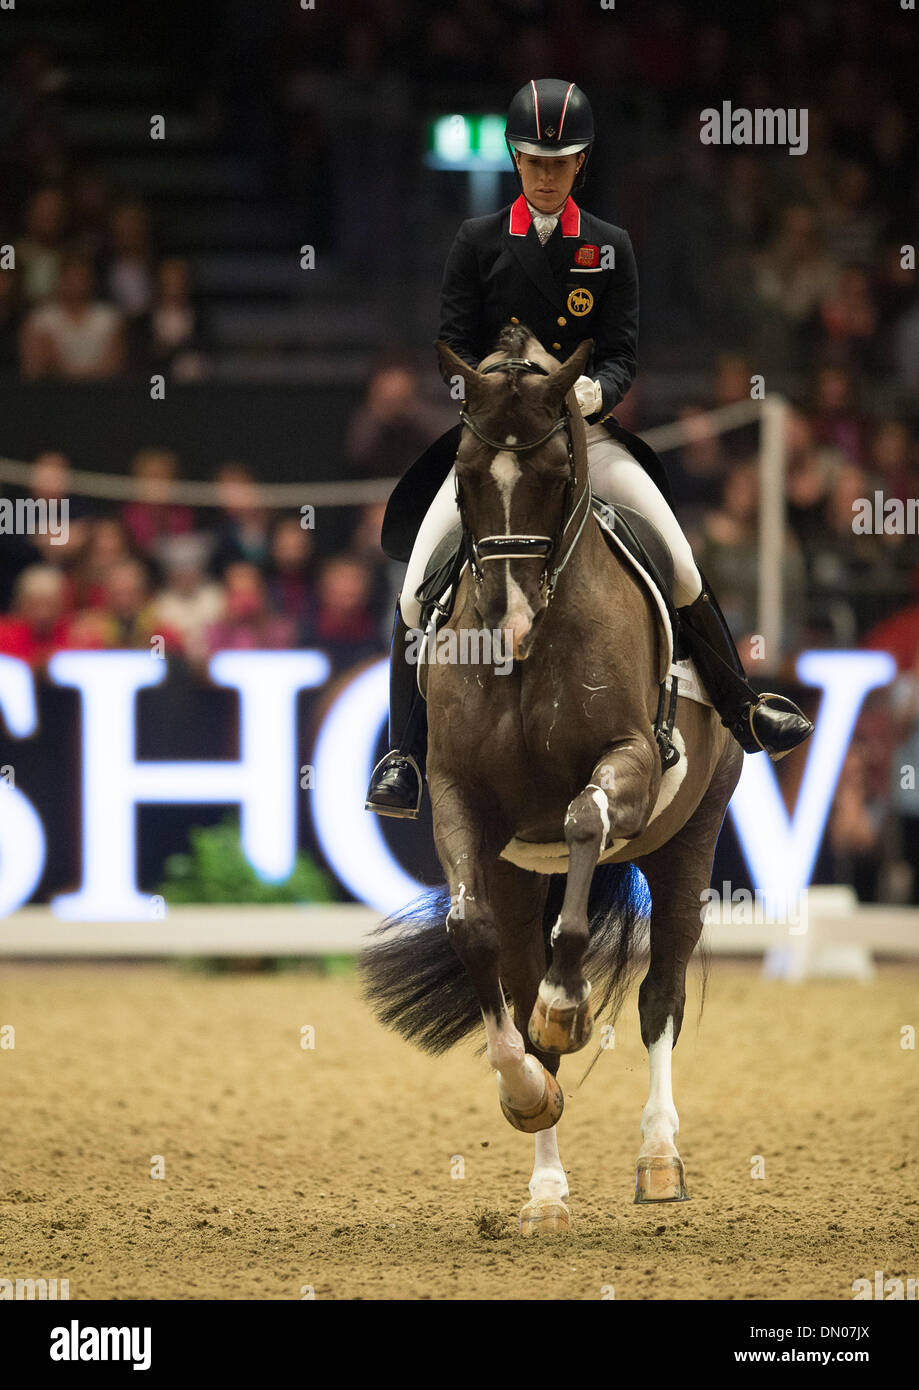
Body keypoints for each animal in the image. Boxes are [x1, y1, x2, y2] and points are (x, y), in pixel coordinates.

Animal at [361, 328, 745, 1239]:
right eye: (465, 477)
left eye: (549, 476)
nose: (507, 628)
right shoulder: (461, 801)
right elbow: (471, 937)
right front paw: (527, 1093)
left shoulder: (628, 763)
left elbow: (580, 823)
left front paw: (566, 1005)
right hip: (516, 873)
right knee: (521, 964)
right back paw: (545, 1192)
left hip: (690, 839)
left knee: (660, 994)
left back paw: (658, 1160)